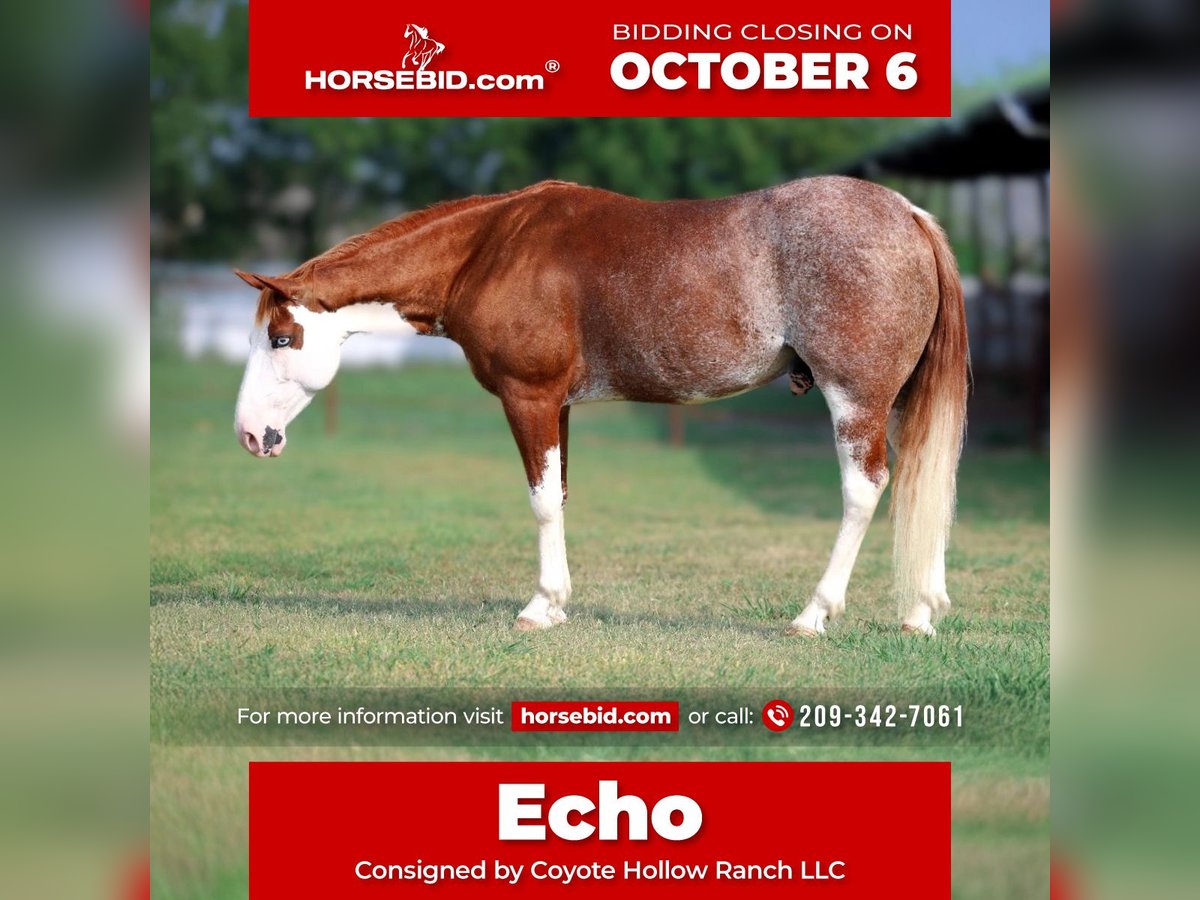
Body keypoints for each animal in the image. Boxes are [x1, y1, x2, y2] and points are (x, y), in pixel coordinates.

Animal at [233, 177, 969, 636]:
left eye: (280, 337)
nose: (249, 434)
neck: (490, 249)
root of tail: (910, 216)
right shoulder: (556, 404)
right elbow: (557, 495)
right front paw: (557, 603)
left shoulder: (529, 397)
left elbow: (538, 500)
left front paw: (541, 606)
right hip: (897, 402)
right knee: (920, 481)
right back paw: (920, 612)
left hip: (855, 400)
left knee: (864, 491)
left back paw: (815, 614)